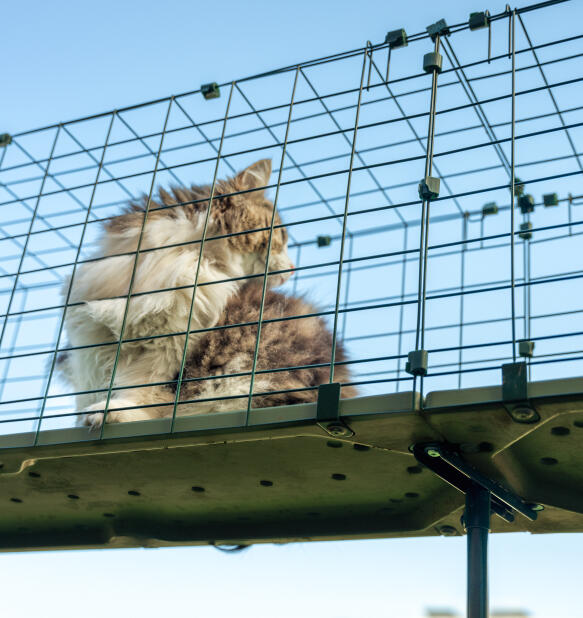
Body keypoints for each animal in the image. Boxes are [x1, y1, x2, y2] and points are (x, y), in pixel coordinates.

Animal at [57, 159, 354, 426]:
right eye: (281, 235)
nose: (293, 268)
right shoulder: (97, 341)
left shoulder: (171, 343)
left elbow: (144, 388)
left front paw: (112, 411)